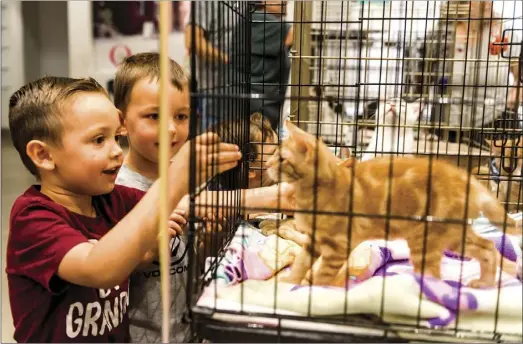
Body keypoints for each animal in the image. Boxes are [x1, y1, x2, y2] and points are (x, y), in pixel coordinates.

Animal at [268, 120, 520, 288]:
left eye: (281, 158)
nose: (267, 164)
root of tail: (467, 178)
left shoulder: (337, 246)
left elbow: (322, 276)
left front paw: (311, 292)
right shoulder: (315, 241)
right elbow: (300, 263)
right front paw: (288, 284)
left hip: (427, 239)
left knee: (434, 275)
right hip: (453, 234)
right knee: (488, 247)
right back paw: (484, 283)